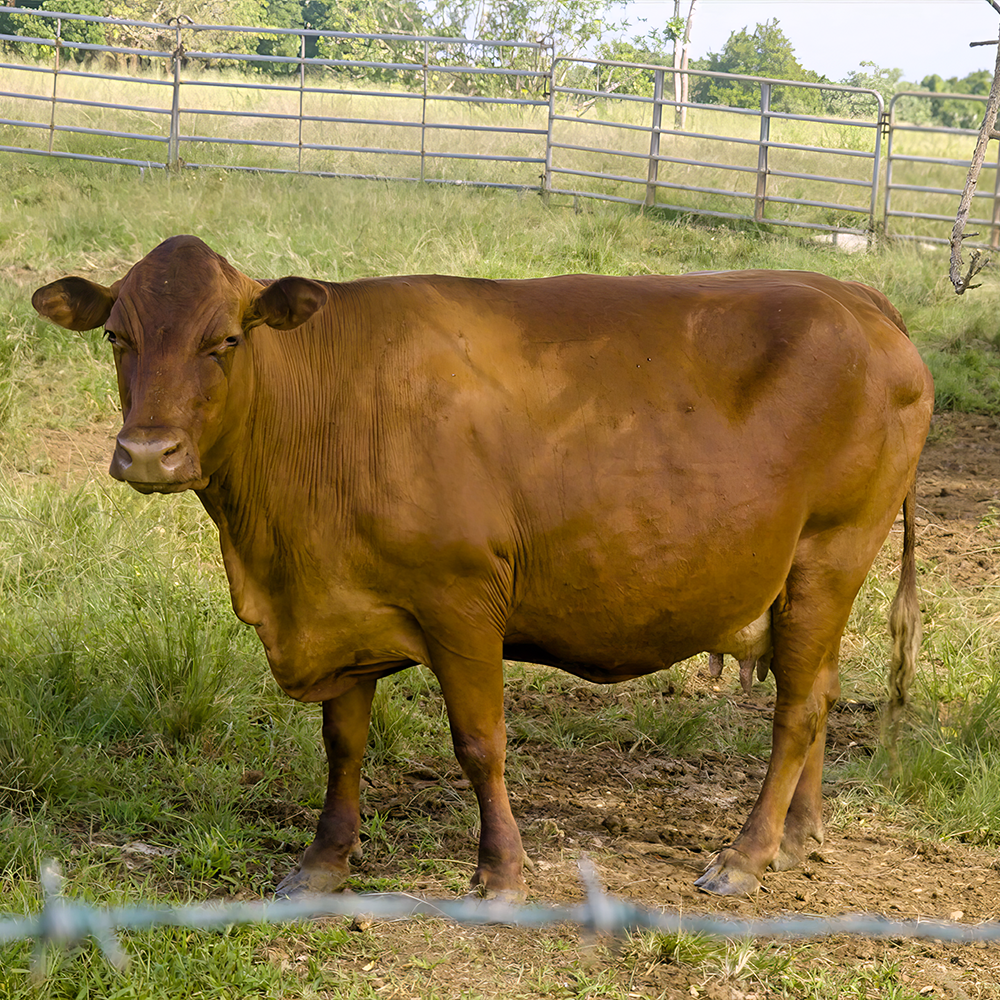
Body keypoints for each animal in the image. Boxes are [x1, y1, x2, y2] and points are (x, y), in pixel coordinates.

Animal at [32, 236, 933, 898]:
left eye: (224, 340)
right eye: (118, 337)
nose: (148, 453)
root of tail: (854, 296)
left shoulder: (460, 600)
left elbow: (480, 742)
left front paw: (500, 872)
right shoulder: (342, 605)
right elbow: (343, 743)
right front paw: (322, 864)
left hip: (831, 549)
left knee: (796, 709)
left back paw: (746, 855)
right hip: (813, 577)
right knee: (817, 690)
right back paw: (800, 837)